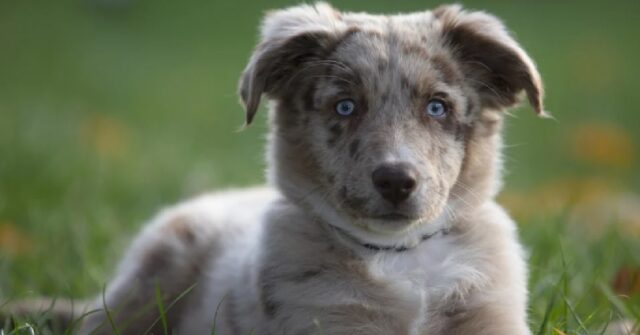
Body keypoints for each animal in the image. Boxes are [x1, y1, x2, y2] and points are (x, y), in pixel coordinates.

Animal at [77, 3, 544, 335]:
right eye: (345, 106)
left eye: (437, 107)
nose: (396, 181)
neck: (399, 255)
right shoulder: (324, 315)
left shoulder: (490, 311)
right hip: (150, 279)